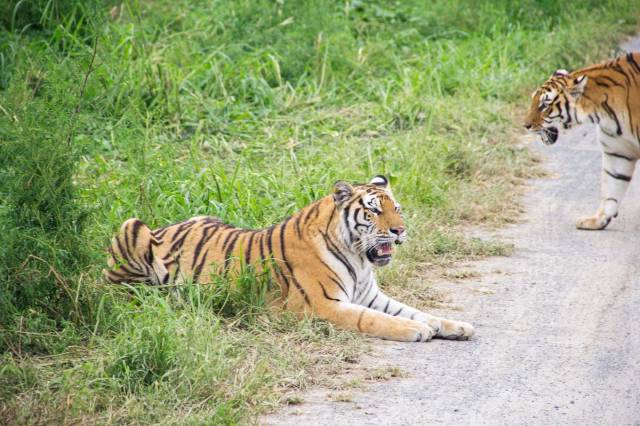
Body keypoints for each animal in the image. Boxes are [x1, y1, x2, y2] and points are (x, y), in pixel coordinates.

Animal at [104, 175, 476, 342]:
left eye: (396, 209)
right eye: (373, 212)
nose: (400, 230)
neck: (359, 258)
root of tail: (167, 225)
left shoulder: (370, 295)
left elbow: (416, 310)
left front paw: (454, 325)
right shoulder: (323, 304)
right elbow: (373, 319)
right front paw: (416, 330)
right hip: (131, 229)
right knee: (120, 291)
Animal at [524, 53, 640, 231]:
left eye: (544, 105)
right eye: (533, 101)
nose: (525, 125)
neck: (602, 111)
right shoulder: (618, 151)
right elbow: (612, 186)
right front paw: (597, 220)